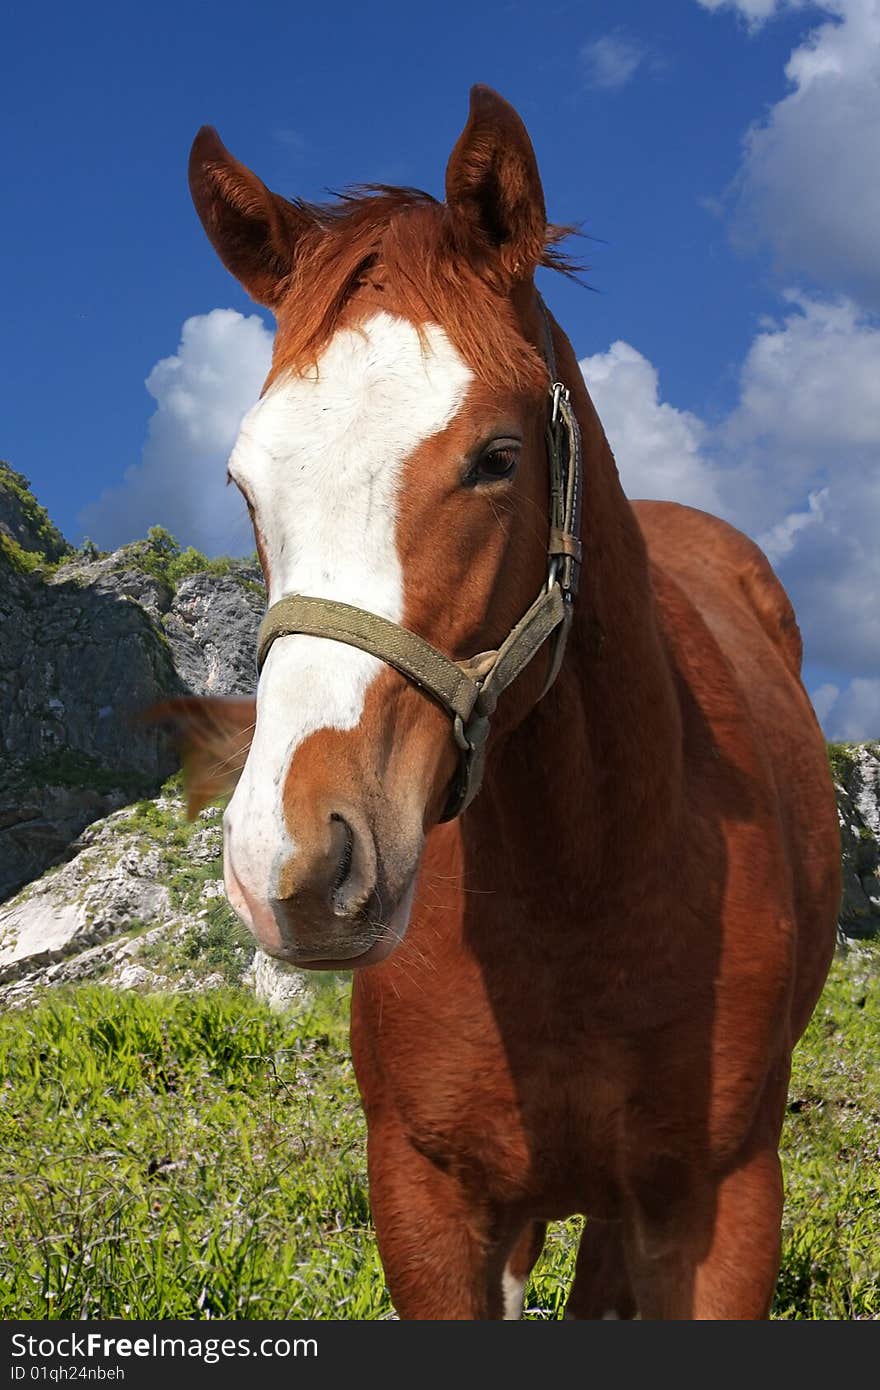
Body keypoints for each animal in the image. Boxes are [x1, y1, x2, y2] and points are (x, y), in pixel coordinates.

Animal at [157, 86, 839, 1323]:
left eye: (496, 456)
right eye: (243, 484)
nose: (293, 860)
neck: (577, 886)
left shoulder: (718, 1209)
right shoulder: (428, 1204)